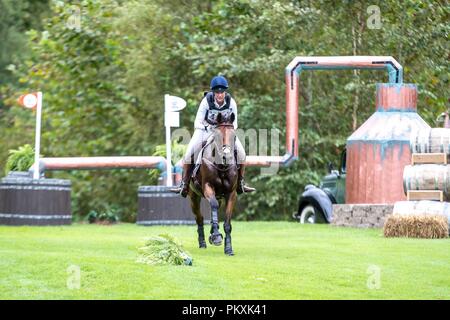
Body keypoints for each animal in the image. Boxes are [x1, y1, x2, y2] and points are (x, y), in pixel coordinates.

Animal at [188, 110, 241, 255]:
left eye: (234, 136)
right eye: (216, 135)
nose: (226, 157)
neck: (221, 166)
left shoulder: (231, 194)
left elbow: (227, 222)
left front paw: (228, 248)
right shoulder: (208, 187)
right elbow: (213, 206)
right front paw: (216, 236)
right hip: (193, 197)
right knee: (200, 218)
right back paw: (203, 242)